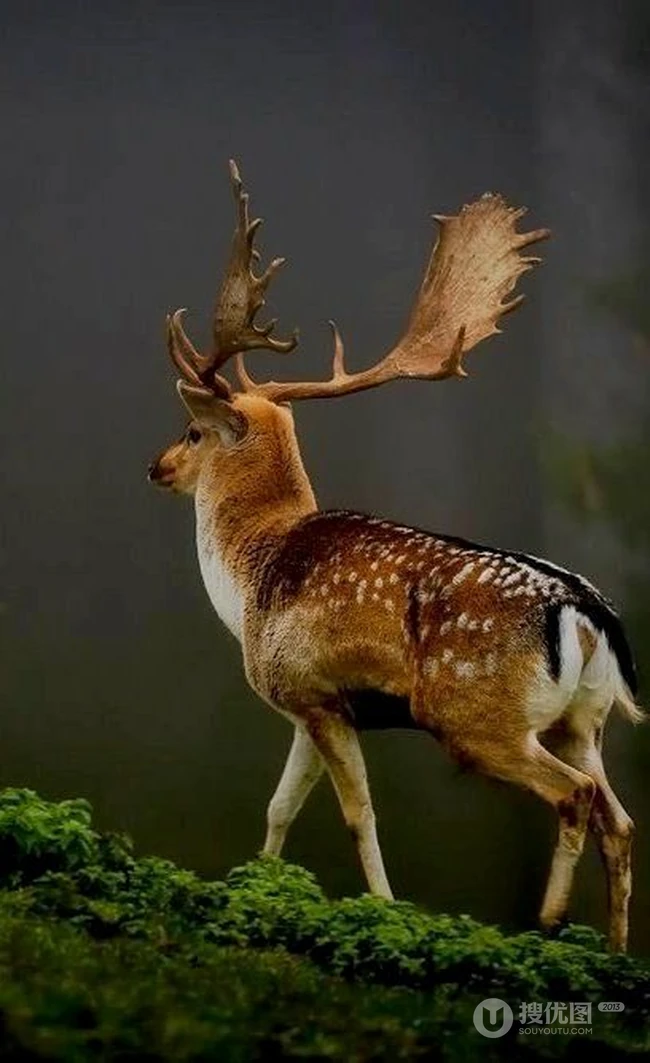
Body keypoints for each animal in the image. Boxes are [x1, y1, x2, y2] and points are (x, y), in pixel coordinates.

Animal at [148, 160, 641, 952]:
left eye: (192, 432)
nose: (157, 467)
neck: (249, 577)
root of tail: (584, 608)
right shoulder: (304, 703)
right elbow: (279, 806)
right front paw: (255, 888)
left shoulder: (314, 690)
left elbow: (358, 812)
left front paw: (383, 909)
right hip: (584, 718)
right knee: (619, 819)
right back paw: (616, 950)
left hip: (476, 716)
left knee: (577, 796)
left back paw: (548, 919)